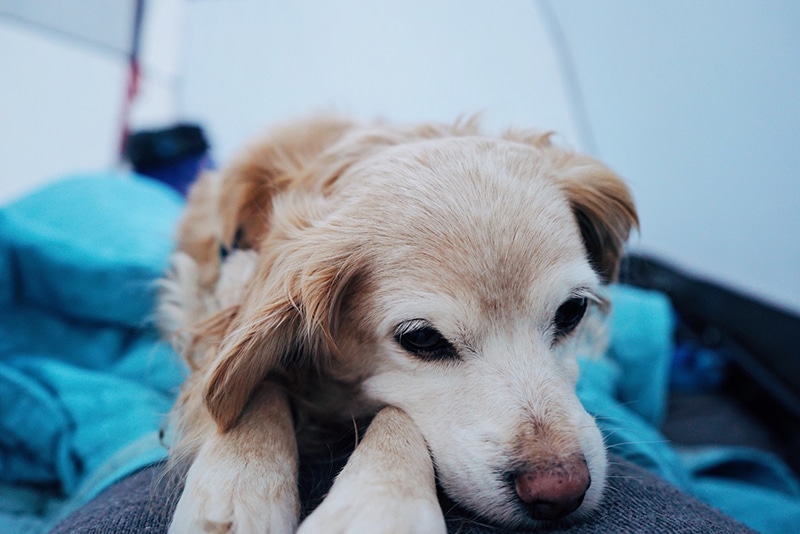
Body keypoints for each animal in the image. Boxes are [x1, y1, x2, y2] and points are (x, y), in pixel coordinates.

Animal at [161, 115, 636, 532]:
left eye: (572, 310)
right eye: (422, 338)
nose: (561, 491)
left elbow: (394, 415)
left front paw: (379, 506)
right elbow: (253, 387)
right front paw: (235, 486)